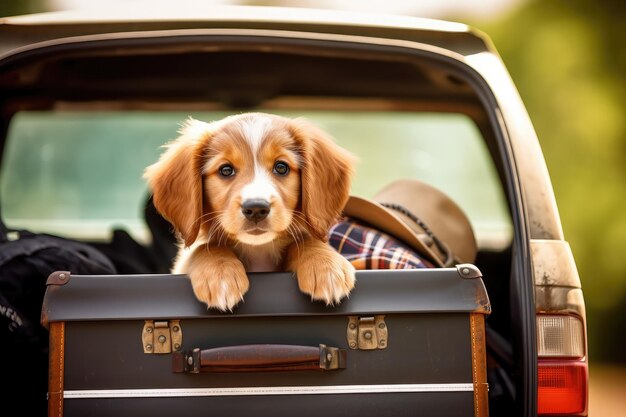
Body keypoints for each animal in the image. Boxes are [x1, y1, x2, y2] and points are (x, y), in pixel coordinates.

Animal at [143, 112, 356, 310]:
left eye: (281, 167)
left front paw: (326, 266)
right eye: (226, 170)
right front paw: (221, 274)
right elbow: (204, 247)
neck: (258, 250)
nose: (256, 208)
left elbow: (306, 241)